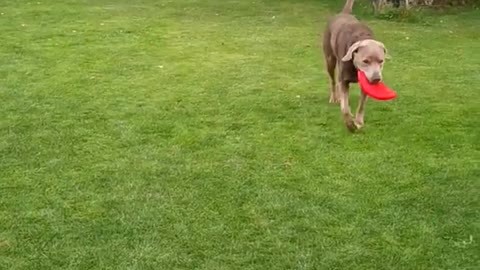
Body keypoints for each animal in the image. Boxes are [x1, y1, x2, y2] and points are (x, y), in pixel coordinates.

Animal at [322, 0, 386, 132]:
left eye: (381, 61)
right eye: (365, 61)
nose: (376, 79)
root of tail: (343, 13)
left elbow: (361, 105)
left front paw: (359, 122)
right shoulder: (344, 79)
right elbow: (345, 109)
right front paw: (350, 124)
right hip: (330, 60)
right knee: (333, 80)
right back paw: (334, 98)